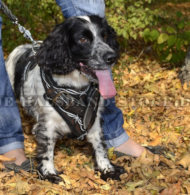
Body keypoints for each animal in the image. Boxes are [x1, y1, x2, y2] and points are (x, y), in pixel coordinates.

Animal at [5, 15, 124, 183]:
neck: (74, 88)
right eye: (83, 39)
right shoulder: (47, 124)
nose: (112, 57)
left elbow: (100, 146)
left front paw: (107, 169)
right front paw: (48, 173)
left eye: (105, 36)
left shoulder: (93, 120)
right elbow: (47, 151)